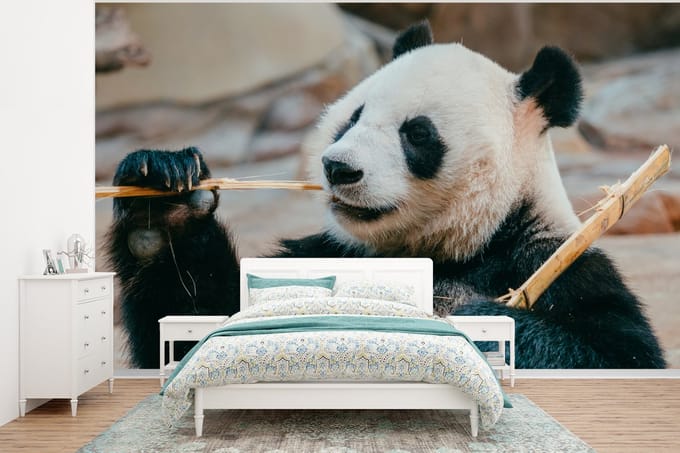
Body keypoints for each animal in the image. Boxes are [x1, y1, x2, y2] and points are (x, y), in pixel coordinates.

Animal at [108, 21, 666, 369]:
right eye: (352, 117)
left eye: (417, 134)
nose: (338, 168)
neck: (456, 245)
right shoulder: (327, 252)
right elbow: (201, 326)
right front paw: (163, 202)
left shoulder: (551, 263)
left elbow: (619, 355)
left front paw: (470, 321)